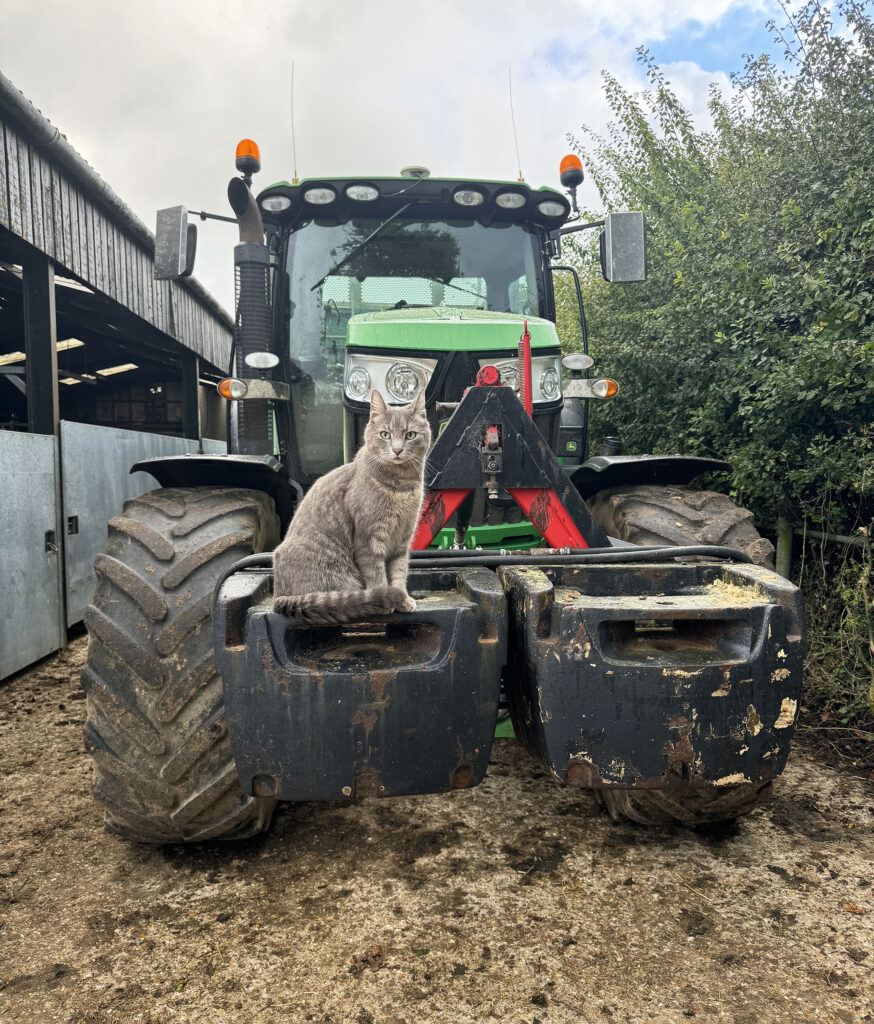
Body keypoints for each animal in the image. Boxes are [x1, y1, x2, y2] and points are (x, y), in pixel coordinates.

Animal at [270, 385, 427, 618]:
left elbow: (399, 572)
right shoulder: (368, 542)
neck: (401, 485)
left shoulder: (402, 542)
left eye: (410, 435)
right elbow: (377, 577)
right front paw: (386, 600)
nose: (397, 450)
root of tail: (278, 596)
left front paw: (403, 599)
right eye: (385, 434)